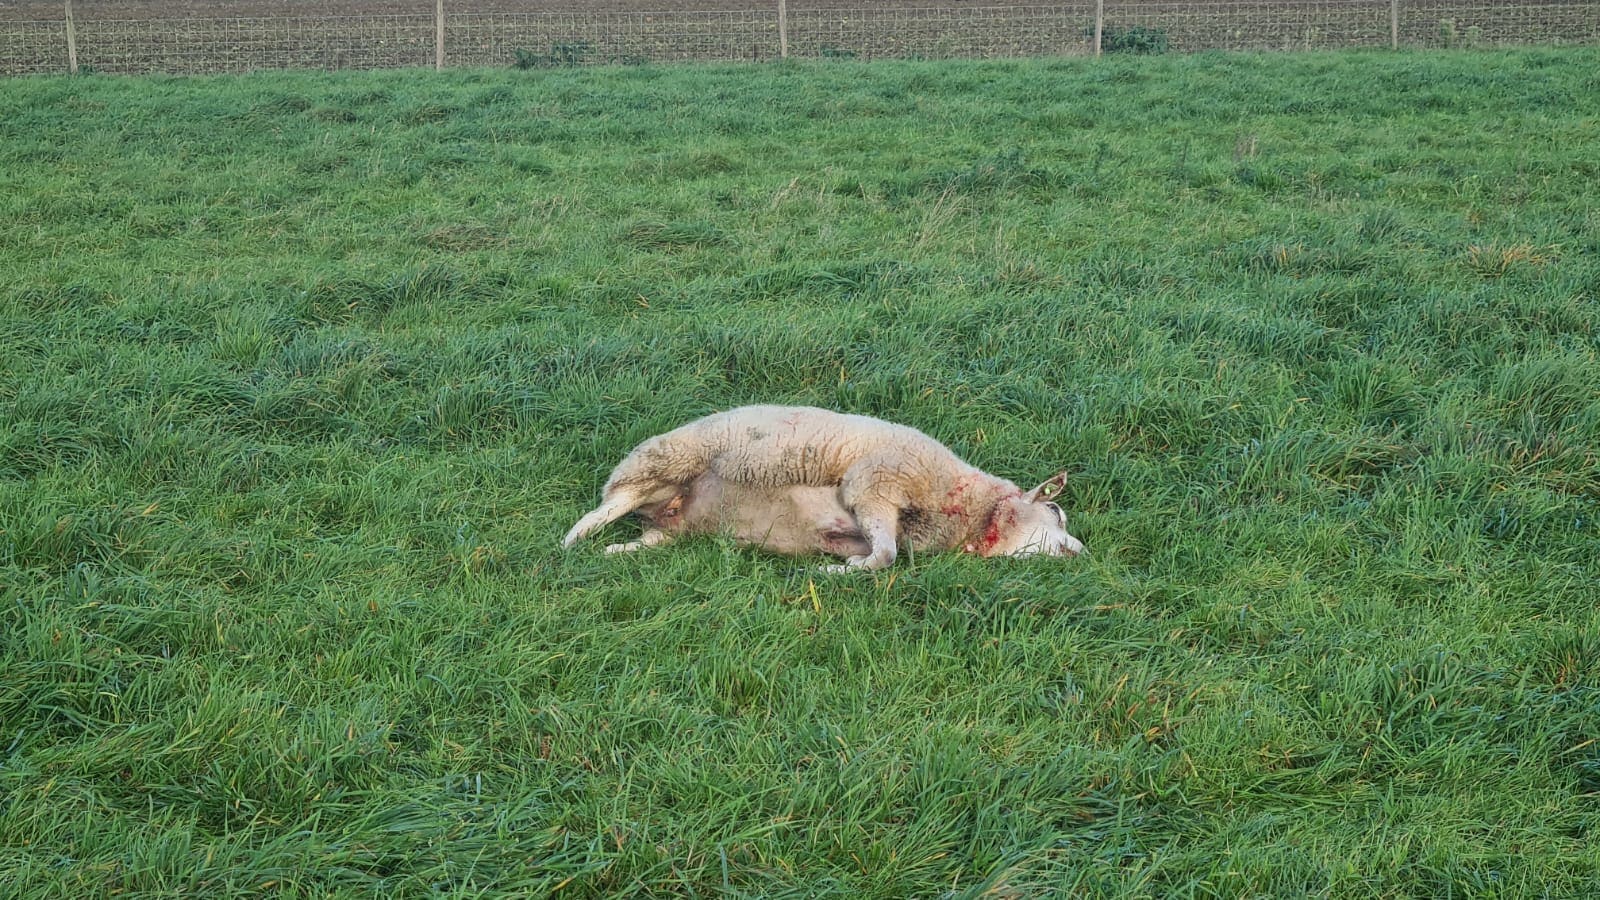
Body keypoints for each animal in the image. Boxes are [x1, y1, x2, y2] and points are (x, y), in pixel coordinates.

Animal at [561, 405, 1084, 571]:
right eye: (1056, 514)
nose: (1082, 552)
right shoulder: (873, 484)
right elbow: (886, 556)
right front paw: (839, 573)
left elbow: (877, 549)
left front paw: (844, 565)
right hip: (660, 464)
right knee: (607, 507)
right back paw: (573, 542)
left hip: (670, 528)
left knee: (645, 538)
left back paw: (616, 551)